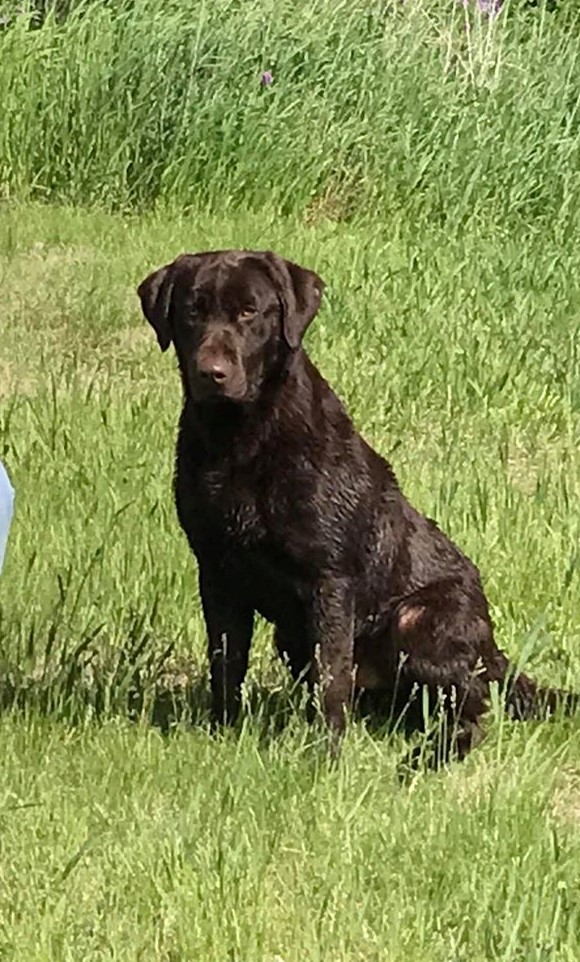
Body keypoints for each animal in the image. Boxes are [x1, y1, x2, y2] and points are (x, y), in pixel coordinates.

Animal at [137, 251, 576, 760]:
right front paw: (222, 734)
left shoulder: (329, 579)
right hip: (293, 637)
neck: (239, 441)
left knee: (471, 712)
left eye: (249, 311)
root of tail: (496, 652)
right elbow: (226, 662)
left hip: (416, 620)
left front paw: (324, 755)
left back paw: (427, 755)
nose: (212, 372)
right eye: (193, 310)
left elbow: (331, 677)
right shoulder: (217, 572)